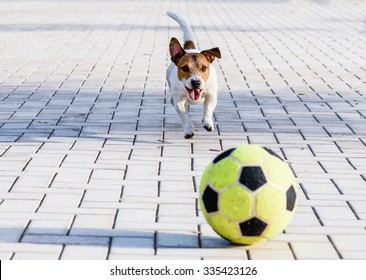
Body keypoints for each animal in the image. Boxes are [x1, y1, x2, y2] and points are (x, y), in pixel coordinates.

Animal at [165, 11, 220, 139]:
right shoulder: (179, 100)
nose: (196, 82)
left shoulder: (211, 95)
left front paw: (207, 123)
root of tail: (190, 48)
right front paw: (189, 130)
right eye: (185, 68)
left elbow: (208, 109)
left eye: (204, 68)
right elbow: (185, 115)